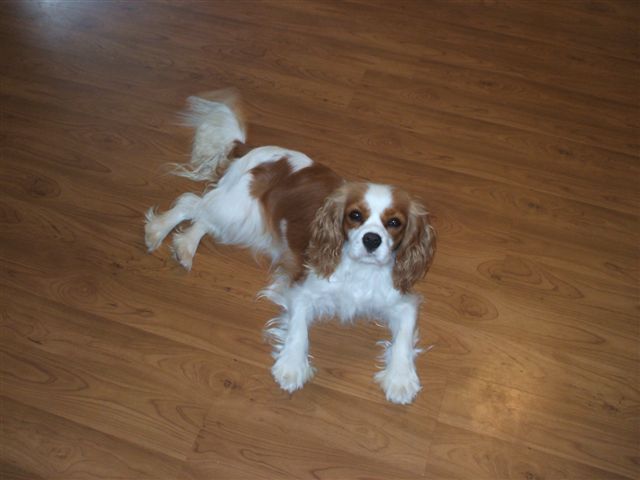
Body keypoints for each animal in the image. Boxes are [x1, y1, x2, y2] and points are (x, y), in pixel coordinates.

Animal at [145, 89, 436, 402]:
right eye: (355, 216)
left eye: (394, 222)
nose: (372, 239)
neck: (360, 269)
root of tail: (251, 150)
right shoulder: (302, 289)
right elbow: (299, 329)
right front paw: (292, 366)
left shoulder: (402, 302)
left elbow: (403, 336)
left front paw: (401, 378)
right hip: (235, 209)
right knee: (192, 203)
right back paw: (157, 231)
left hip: (243, 225)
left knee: (204, 220)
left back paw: (185, 246)